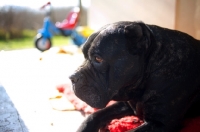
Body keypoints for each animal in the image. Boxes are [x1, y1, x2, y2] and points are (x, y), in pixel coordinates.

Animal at [69, 21, 200, 131]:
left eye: (98, 59)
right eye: (84, 55)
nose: (72, 77)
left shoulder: (161, 123)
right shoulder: (124, 104)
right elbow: (94, 115)